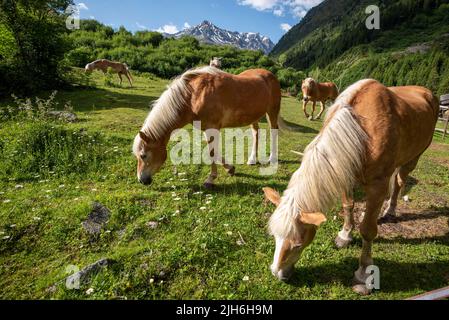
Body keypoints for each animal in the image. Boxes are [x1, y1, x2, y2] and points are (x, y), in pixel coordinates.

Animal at [262, 79, 438, 292]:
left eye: (298, 244)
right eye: (274, 236)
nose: (277, 274)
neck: (363, 131)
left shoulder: (377, 187)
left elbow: (368, 230)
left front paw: (364, 275)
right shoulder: (344, 172)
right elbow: (348, 206)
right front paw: (345, 235)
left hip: (413, 158)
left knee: (399, 183)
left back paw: (390, 210)